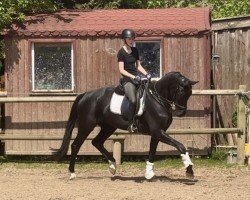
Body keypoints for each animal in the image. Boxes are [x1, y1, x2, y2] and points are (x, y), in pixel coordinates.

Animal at [53, 71, 198, 180]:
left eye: (190, 93)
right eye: (182, 91)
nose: (181, 112)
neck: (157, 99)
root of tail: (84, 95)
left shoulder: (157, 133)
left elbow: (152, 151)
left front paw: (149, 173)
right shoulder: (158, 132)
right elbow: (180, 146)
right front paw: (189, 170)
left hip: (108, 127)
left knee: (97, 142)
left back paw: (112, 166)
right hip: (86, 126)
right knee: (76, 145)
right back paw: (72, 173)